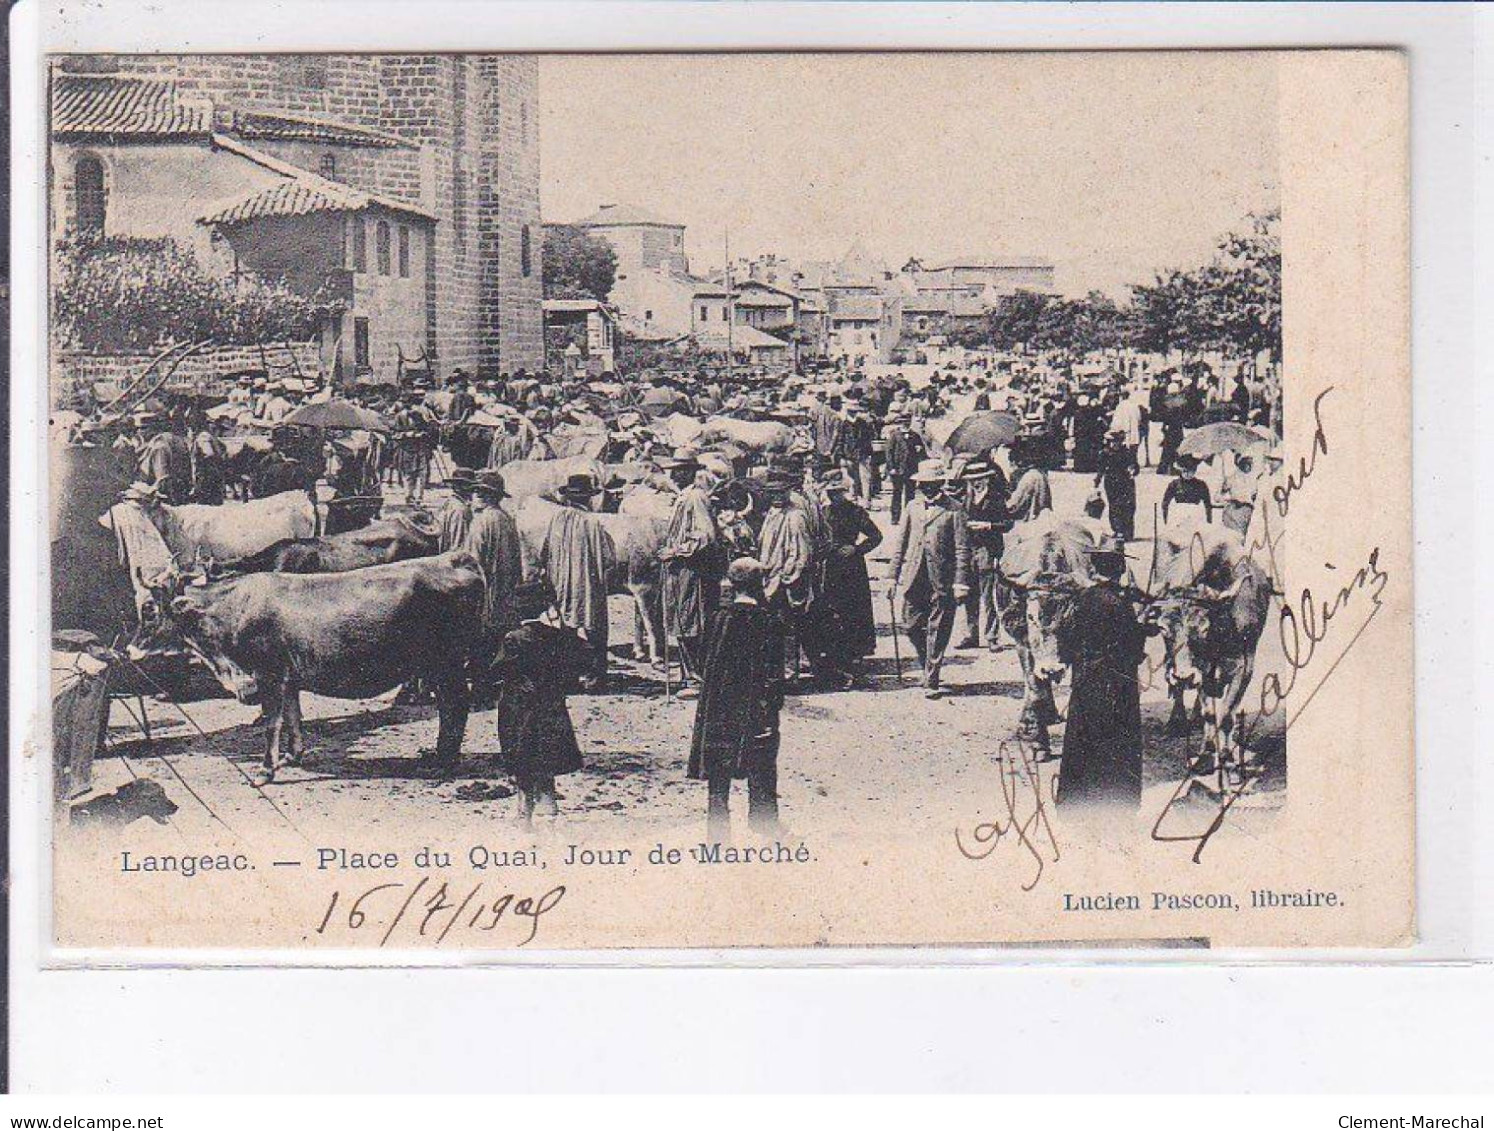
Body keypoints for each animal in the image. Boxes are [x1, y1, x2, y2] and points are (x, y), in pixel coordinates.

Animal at [138, 552, 481, 782]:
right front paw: (293, 756)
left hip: (444, 663)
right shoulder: (288, 678)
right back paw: (441, 756)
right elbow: (294, 717)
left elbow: (272, 723)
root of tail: (457, 558)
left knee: (455, 704)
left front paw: (265, 771)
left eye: (150, 610)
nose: (130, 648)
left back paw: (443, 761)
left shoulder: (269, 674)